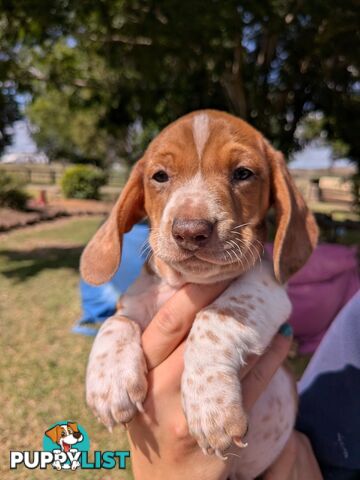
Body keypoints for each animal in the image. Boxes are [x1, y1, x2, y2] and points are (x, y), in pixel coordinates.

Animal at [81, 110, 318, 478]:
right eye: (160, 176)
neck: (187, 283)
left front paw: (211, 405)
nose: (190, 231)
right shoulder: (134, 302)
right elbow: (116, 323)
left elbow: (213, 317)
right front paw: (108, 382)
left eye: (243, 173)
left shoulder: (268, 288)